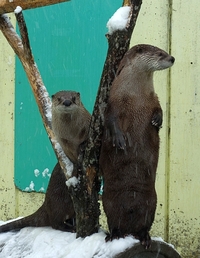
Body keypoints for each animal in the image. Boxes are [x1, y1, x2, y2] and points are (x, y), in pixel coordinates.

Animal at [0, 91, 90, 234]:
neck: (72, 136)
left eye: (73, 98)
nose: (67, 102)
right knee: (55, 223)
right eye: (59, 99)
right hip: (58, 204)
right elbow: (73, 158)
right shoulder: (65, 143)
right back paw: (71, 228)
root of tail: (45, 204)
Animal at [100, 43, 175, 248]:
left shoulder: (153, 99)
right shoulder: (114, 103)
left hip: (152, 201)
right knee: (113, 221)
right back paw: (113, 235)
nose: (172, 58)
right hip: (108, 200)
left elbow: (159, 109)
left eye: (165, 52)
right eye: (160, 53)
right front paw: (119, 140)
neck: (136, 96)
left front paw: (157, 120)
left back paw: (145, 238)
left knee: (145, 223)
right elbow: (111, 120)